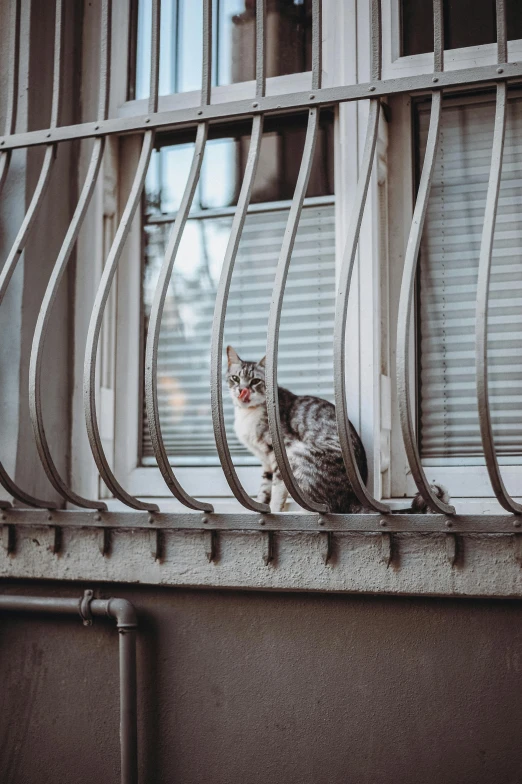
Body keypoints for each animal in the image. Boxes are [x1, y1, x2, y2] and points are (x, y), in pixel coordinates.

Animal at [224, 344, 446, 516]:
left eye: (255, 381)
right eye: (235, 378)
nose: (242, 390)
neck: (248, 415)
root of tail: (352, 498)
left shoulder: (280, 452)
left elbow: (277, 491)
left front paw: (275, 511)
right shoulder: (266, 463)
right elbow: (264, 490)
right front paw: (260, 508)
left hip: (298, 454)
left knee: (323, 509)